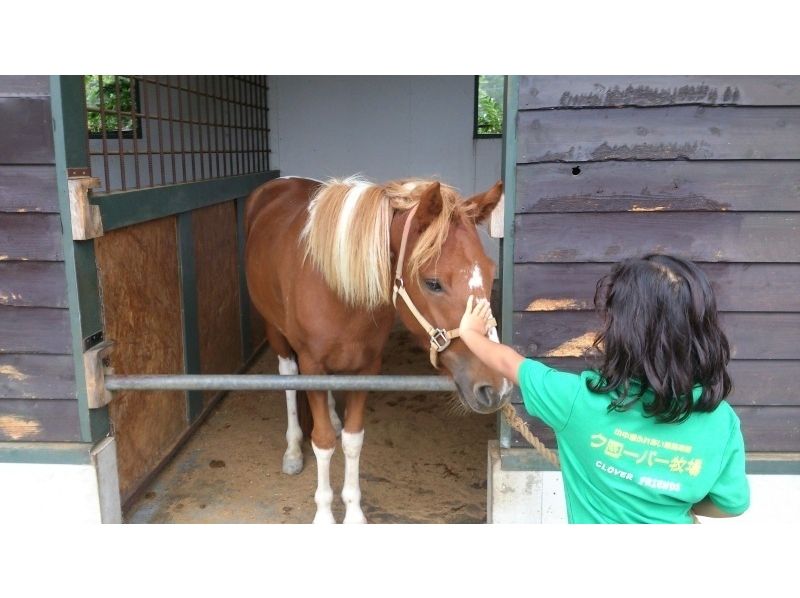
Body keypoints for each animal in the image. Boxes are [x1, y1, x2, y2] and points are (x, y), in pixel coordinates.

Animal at [244, 175, 512, 523]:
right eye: (433, 283)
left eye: (491, 273)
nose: (497, 388)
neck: (337, 286)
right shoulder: (312, 363)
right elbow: (323, 442)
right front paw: (325, 515)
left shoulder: (367, 366)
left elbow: (353, 440)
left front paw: (354, 514)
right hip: (276, 332)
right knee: (288, 376)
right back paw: (292, 450)